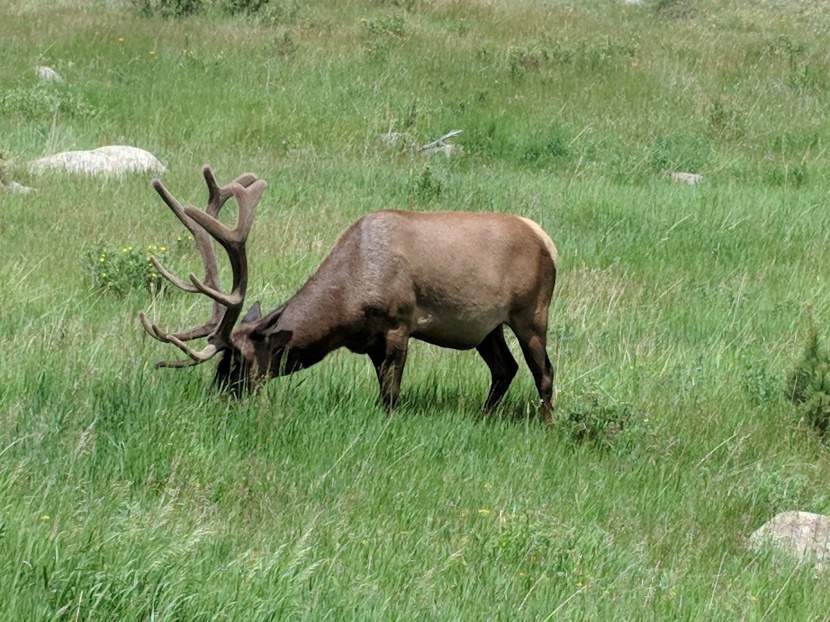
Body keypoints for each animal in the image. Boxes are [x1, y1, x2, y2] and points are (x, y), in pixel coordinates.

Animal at [140, 163, 564, 422]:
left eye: (238, 361)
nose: (218, 399)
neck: (347, 307)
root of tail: (546, 239)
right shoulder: (369, 342)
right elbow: (382, 391)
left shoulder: (399, 323)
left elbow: (391, 397)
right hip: (486, 327)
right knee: (504, 368)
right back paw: (484, 417)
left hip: (532, 311)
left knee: (544, 371)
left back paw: (546, 426)